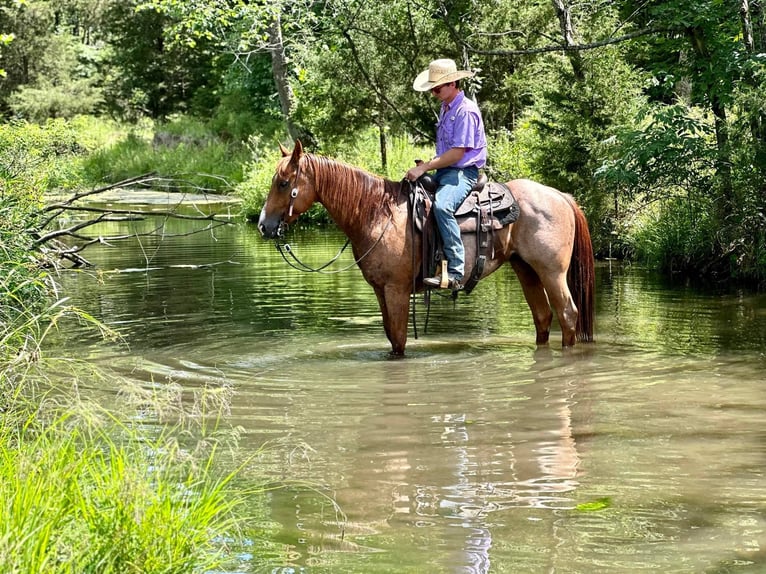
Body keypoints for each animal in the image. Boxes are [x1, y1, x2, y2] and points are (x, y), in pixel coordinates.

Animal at [260, 141, 596, 356]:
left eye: (283, 183)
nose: (264, 225)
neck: (376, 213)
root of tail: (560, 195)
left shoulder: (396, 289)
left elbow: (398, 339)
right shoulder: (380, 290)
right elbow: (391, 336)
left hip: (552, 272)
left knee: (567, 314)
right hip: (525, 269)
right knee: (543, 317)